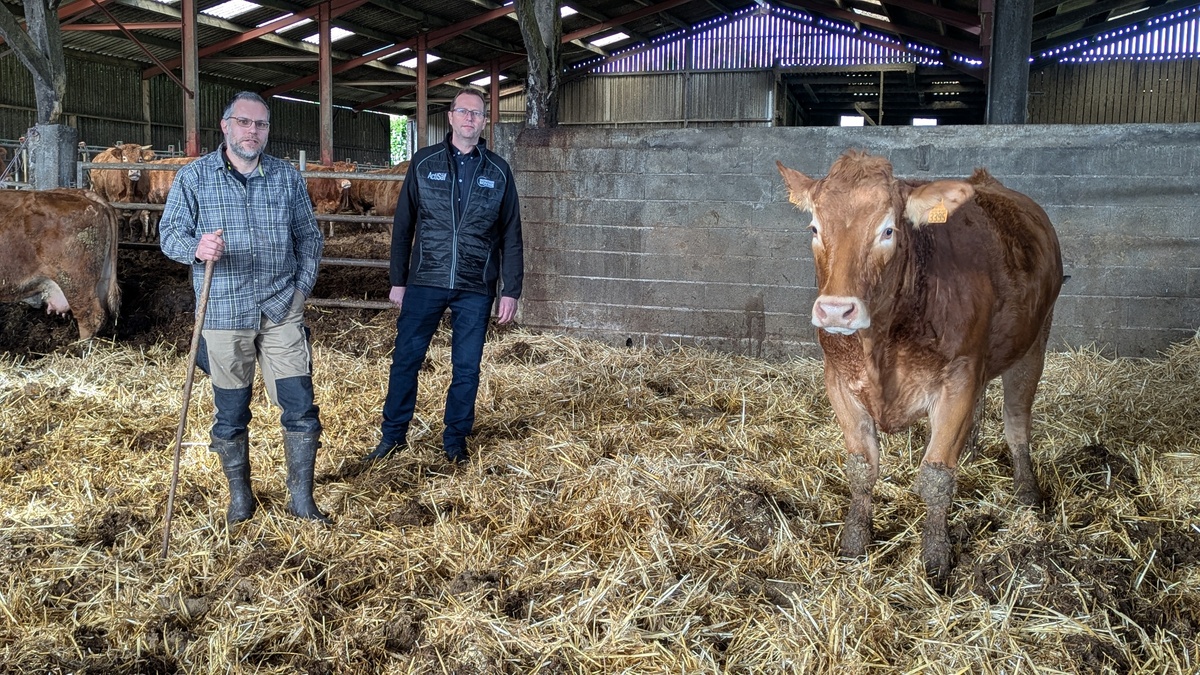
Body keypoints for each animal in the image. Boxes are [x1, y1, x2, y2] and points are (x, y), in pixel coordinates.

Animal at [777, 149, 1070, 581]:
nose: (835, 310)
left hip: (1035, 342)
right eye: (814, 228)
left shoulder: (958, 380)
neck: (880, 345)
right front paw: (854, 543)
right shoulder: (839, 381)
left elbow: (935, 477)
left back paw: (1027, 492)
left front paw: (935, 557)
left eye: (888, 231)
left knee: (1017, 419)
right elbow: (861, 469)